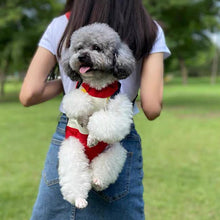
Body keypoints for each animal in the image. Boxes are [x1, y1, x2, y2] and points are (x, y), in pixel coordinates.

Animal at [57, 23, 135, 209]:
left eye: (97, 48)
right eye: (79, 48)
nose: (81, 56)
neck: (98, 87)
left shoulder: (118, 107)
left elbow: (103, 121)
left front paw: (92, 138)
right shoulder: (76, 96)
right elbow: (81, 108)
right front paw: (84, 120)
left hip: (114, 152)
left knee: (102, 169)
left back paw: (97, 181)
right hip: (73, 150)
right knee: (75, 175)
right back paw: (79, 199)